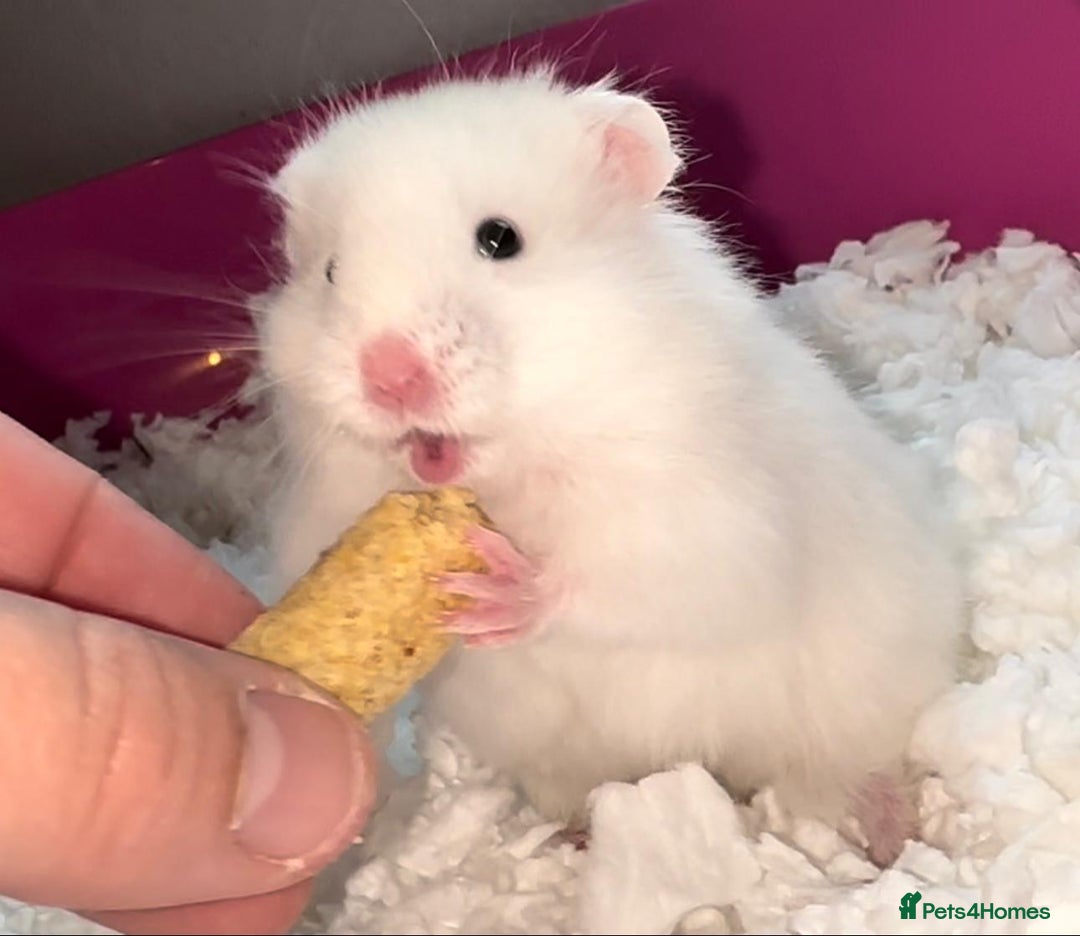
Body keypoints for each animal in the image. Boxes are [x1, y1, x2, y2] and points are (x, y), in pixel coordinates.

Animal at [252, 68, 964, 867]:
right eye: (329, 272)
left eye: (500, 239)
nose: (388, 375)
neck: (514, 463)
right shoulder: (319, 509)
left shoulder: (704, 516)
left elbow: (619, 579)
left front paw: (501, 590)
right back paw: (578, 837)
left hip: (862, 692)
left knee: (859, 768)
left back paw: (891, 838)